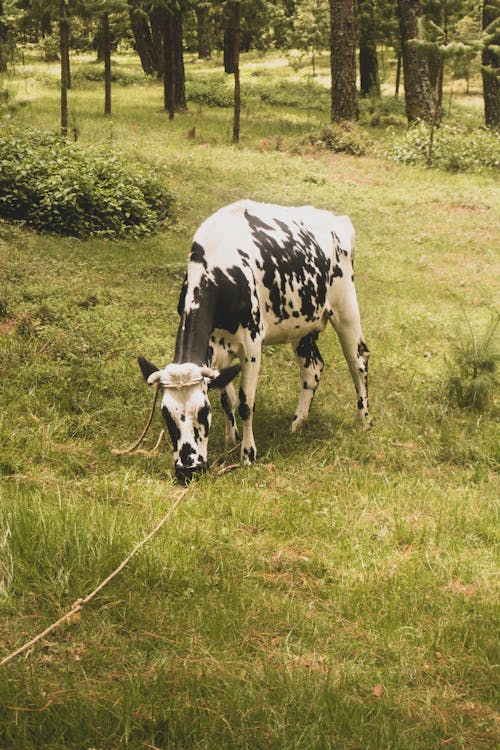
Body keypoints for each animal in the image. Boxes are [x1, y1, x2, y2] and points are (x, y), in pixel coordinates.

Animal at [139, 200, 370, 482]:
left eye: (203, 411)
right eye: (165, 414)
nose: (188, 470)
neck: (220, 269)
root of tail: (338, 219)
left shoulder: (251, 344)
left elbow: (245, 403)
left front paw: (248, 454)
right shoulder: (214, 347)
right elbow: (228, 398)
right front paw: (231, 439)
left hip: (345, 307)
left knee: (358, 360)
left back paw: (364, 421)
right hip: (302, 324)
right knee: (312, 368)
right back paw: (297, 423)